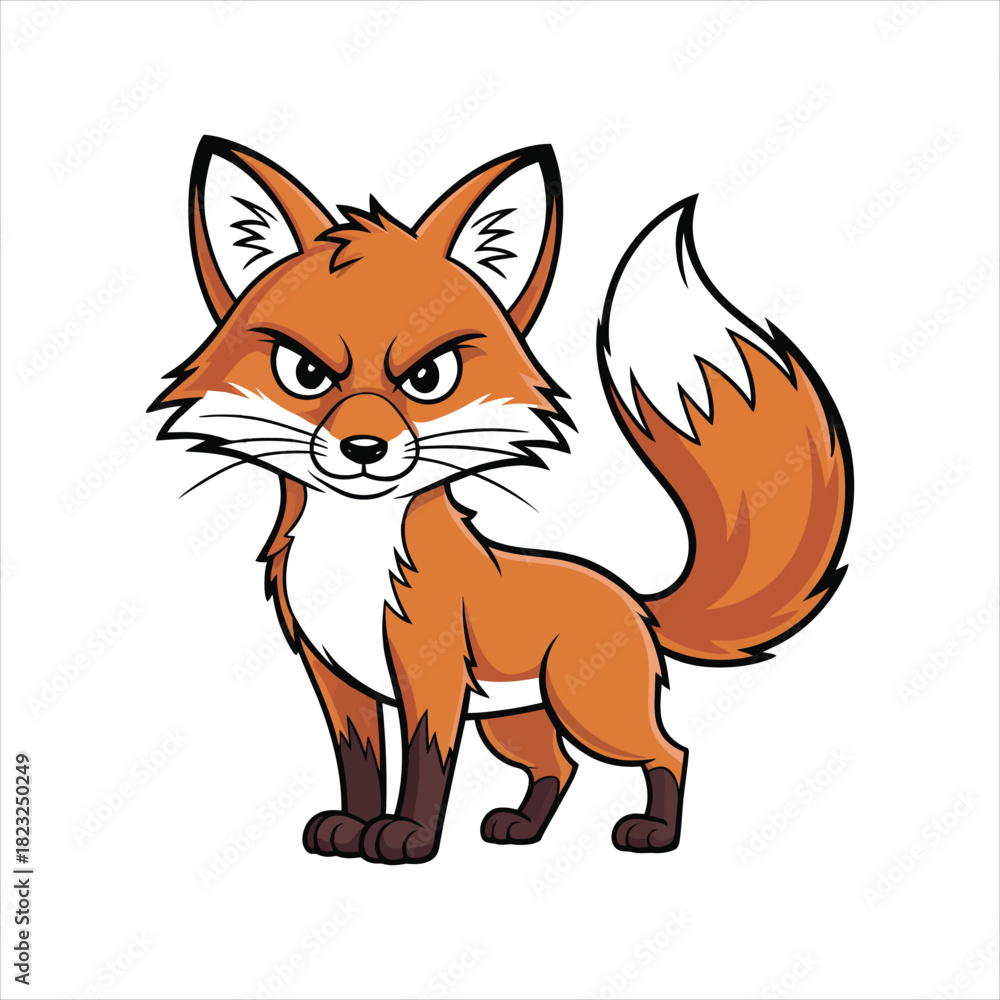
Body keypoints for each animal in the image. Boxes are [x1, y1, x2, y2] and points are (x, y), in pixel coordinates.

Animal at [150, 137, 852, 864]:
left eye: (428, 378)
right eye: (305, 374)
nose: (364, 448)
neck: (353, 559)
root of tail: (634, 600)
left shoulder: (431, 674)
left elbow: (426, 766)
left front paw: (407, 838)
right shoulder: (337, 680)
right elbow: (361, 765)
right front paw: (350, 828)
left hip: (586, 707)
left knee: (668, 751)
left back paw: (654, 834)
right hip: (516, 720)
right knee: (559, 767)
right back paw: (522, 829)